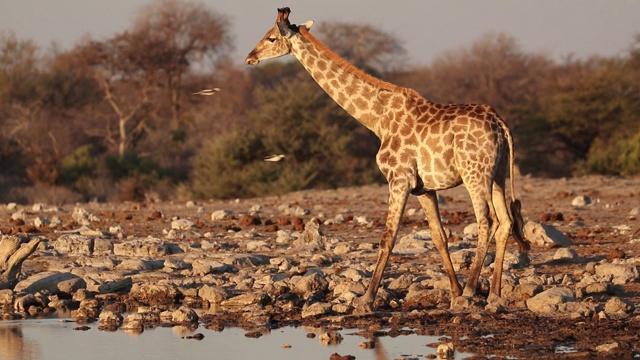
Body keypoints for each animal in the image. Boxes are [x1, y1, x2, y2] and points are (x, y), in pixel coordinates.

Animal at [244, 7, 524, 308]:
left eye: (271, 38)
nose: (250, 57)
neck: (377, 120)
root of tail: (500, 124)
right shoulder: (423, 188)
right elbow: (439, 236)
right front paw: (454, 292)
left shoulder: (398, 179)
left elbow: (387, 238)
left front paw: (366, 297)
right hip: (497, 175)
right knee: (505, 222)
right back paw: (494, 294)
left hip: (475, 175)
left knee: (487, 222)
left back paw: (473, 290)